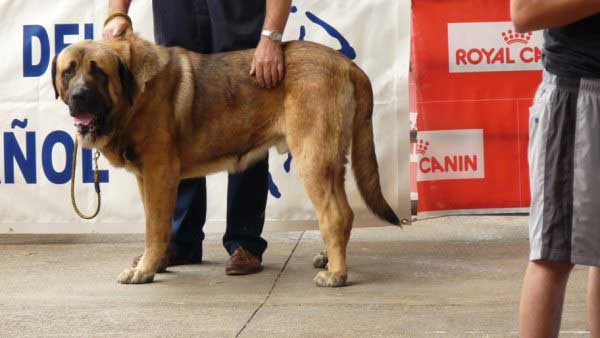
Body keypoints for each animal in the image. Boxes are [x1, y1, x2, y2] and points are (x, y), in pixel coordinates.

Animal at [51, 34, 398, 288]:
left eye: (98, 71)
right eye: (68, 71)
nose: (78, 96)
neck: (132, 94)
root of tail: (347, 64)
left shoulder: (159, 174)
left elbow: (156, 227)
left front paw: (146, 269)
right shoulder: (146, 179)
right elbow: (156, 224)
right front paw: (157, 262)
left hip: (312, 158)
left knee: (335, 214)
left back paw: (336, 274)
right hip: (331, 161)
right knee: (344, 212)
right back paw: (329, 257)